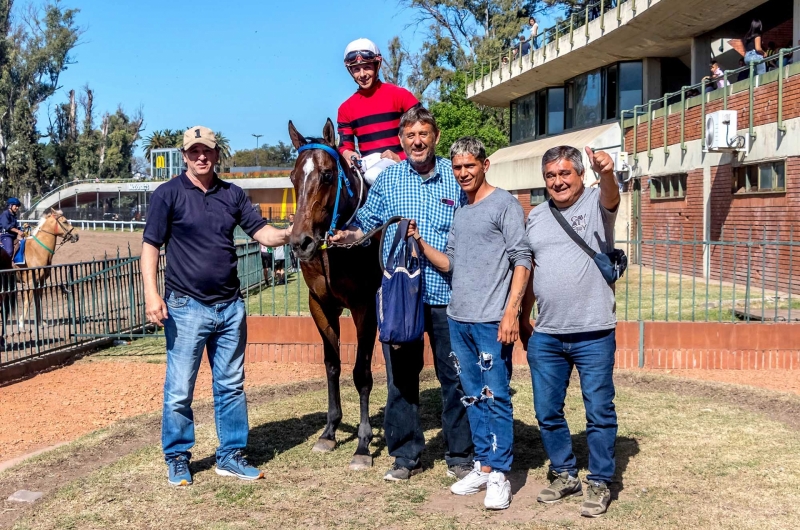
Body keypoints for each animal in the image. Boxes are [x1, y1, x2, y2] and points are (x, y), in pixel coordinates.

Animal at [288, 117, 384, 468]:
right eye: (293, 177)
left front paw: (364, 445)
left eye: (327, 175)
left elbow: (362, 373)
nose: (300, 242)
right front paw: (329, 431)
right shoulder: (320, 304)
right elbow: (332, 365)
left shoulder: (364, 306)